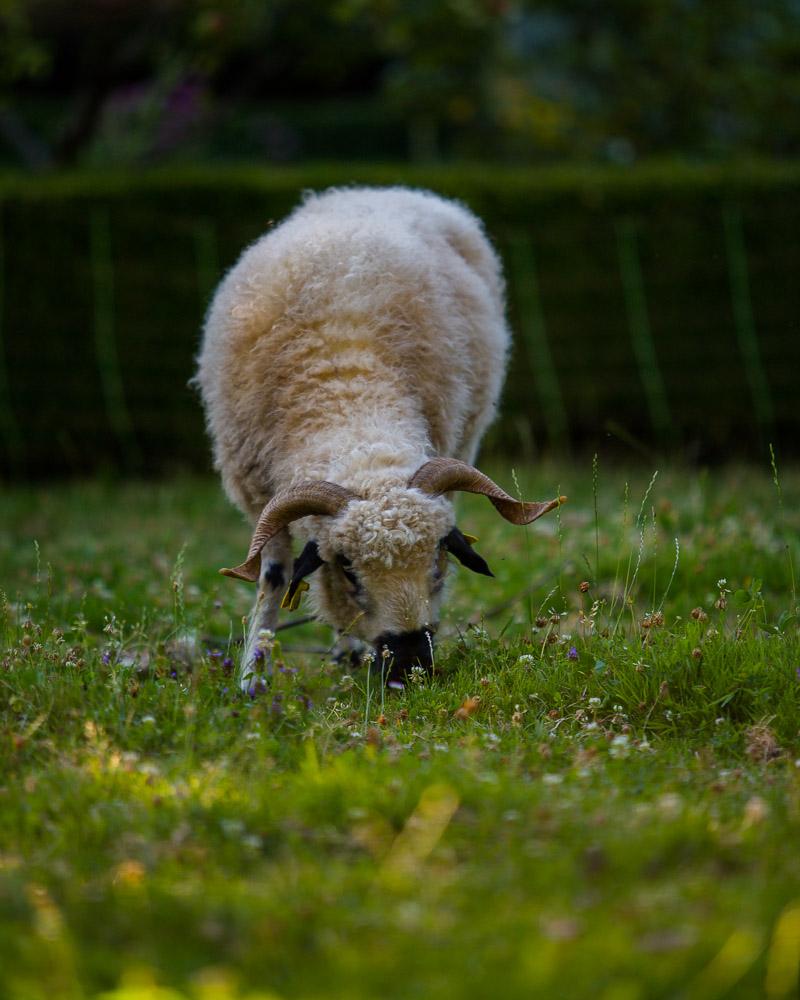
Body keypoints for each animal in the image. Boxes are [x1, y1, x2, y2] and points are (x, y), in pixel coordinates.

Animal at [194, 186, 564, 688]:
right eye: (348, 568)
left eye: (437, 556)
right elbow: (273, 579)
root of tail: (381, 190)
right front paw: (252, 678)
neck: (348, 388)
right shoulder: (258, 496)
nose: (410, 661)